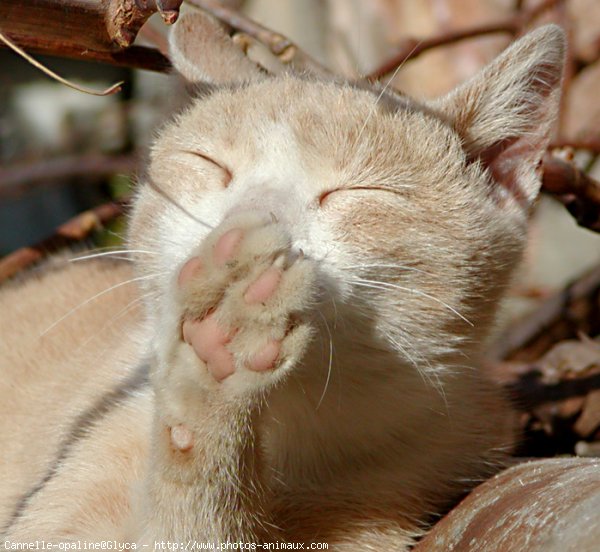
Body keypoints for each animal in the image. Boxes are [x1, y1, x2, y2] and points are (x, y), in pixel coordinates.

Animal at [0, 10, 564, 548]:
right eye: (211, 165)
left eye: (353, 192)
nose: (245, 221)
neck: (287, 433)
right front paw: (216, 357)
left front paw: (223, 358)